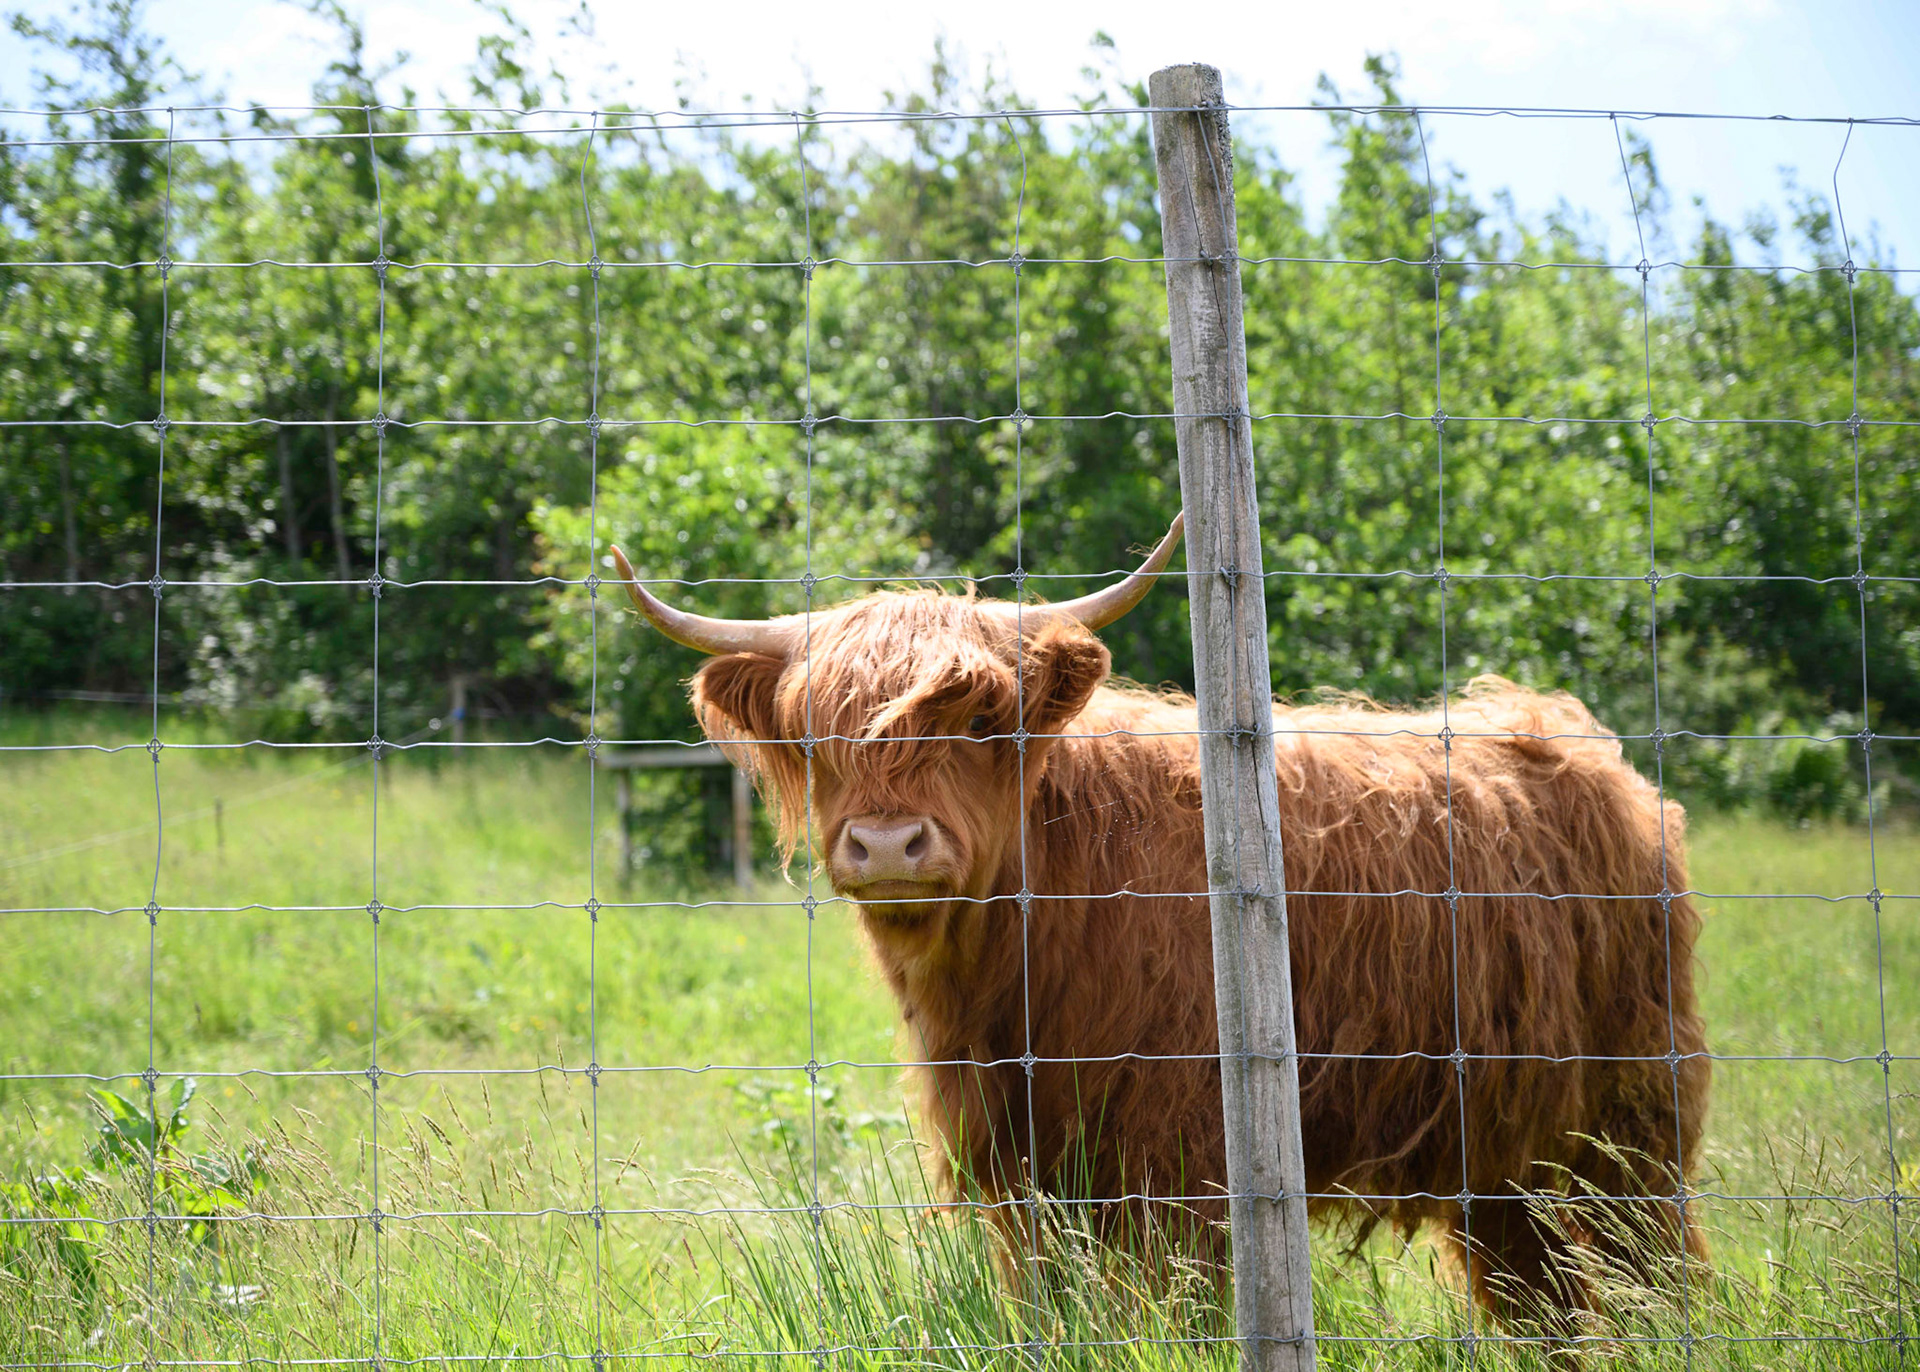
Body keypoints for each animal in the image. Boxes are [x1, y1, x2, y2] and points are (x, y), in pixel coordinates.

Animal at [608, 517, 1709, 1319]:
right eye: (817, 727)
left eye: (980, 718)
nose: (886, 846)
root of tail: (1572, 737)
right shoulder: (1018, 1166)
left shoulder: (1180, 1160)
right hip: (1505, 1163)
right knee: (1542, 1304)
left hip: (1630, 1126)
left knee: (1654, 1276)